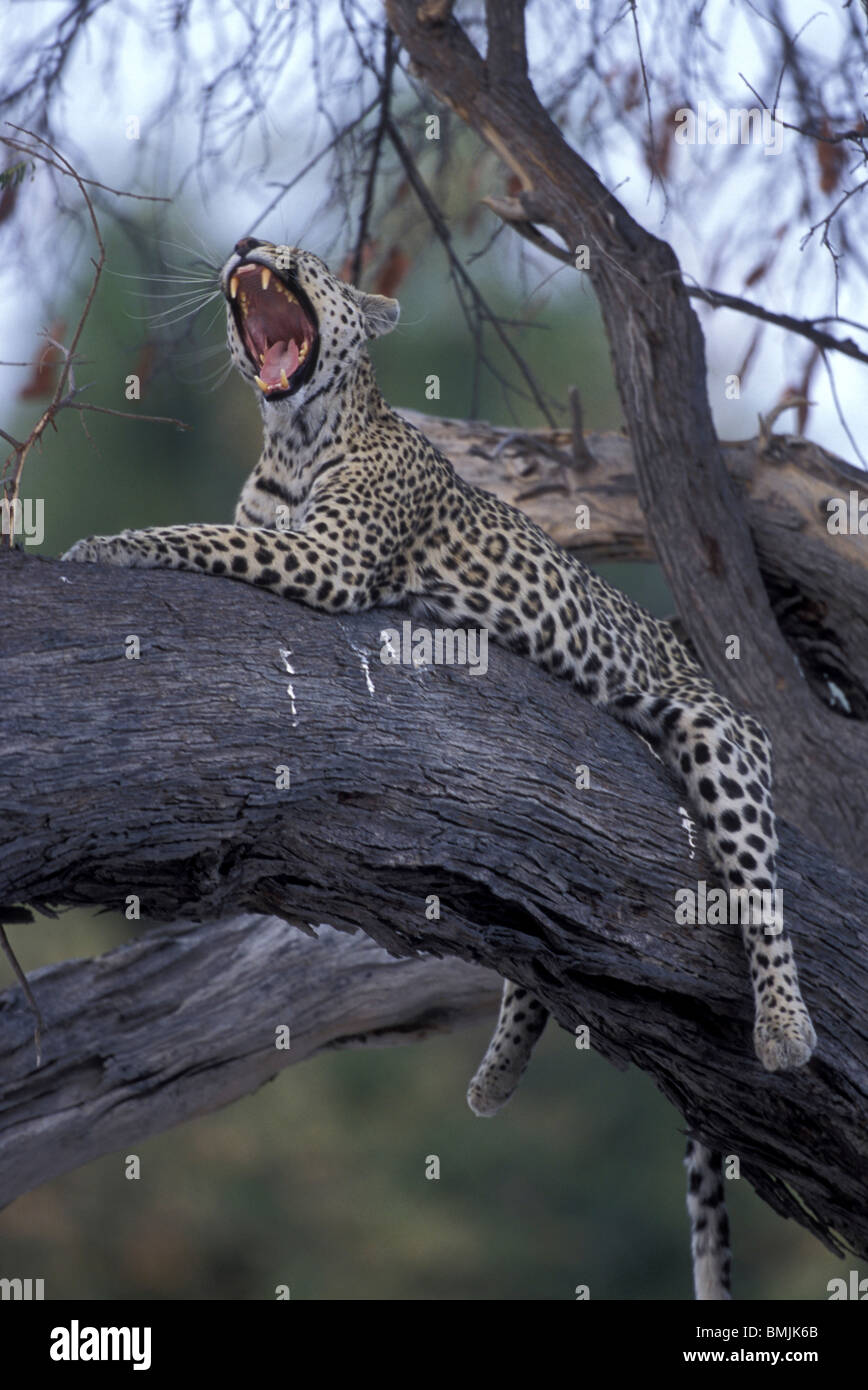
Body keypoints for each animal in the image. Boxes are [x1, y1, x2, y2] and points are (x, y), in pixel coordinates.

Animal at [64, 236, 817, 1289]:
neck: (291, 434)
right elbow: (222, 529)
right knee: (537, 947)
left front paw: (106, 544)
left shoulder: (328, 557)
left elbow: (200, 536)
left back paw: (786, 1029)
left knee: (760, 887)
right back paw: (497, 1076)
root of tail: (684, 650)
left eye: (303, 257)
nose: (249, 246)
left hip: (719, 738)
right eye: (257, 249)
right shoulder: (288, 535)